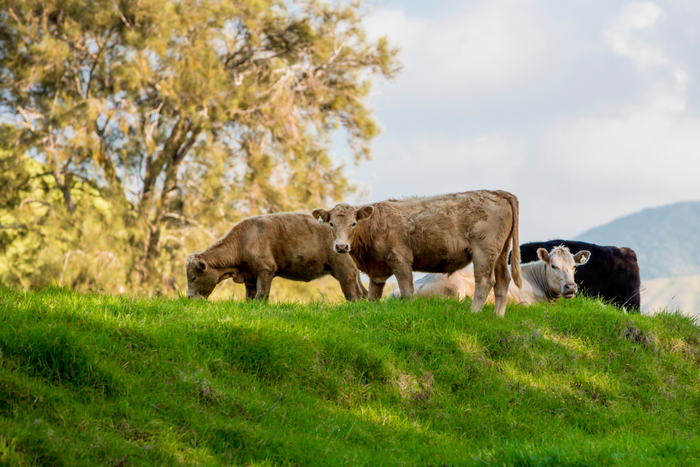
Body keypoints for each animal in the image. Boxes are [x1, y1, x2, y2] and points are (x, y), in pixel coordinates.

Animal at [186, 213, 368, 301]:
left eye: (193, 277)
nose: (189, 297)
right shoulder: (250, 275)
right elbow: (250, 297)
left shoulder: (265, 269)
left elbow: (262, 295)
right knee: (364, 293)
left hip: (344, 268)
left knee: (355, 294)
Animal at [312, 190, 522, 317]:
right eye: (331, 224)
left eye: (353, 223)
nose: (341, 247)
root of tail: (496, 192)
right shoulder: (377, 269)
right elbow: (374, 295)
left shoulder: (400, 258)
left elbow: (406, 291)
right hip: (501, 252)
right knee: (503, 280)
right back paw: (497, 317)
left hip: (484, 250)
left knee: (485, 281)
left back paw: (473, 313)